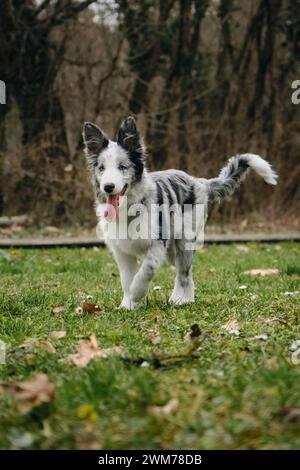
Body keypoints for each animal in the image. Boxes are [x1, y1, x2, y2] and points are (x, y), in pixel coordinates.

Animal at [82, 115, 278, 310]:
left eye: (122, 167)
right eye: (101, 168)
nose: (108, 187)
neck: (130, 209)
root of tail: (199, 181)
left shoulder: (157, 244)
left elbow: (145, 271)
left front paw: (138, 293)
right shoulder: (122, 251)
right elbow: (127, 279)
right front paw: (127, 305)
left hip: (185, 239)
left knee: (183, 273)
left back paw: (181, 300)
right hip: (172, 250)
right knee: (186, 272)